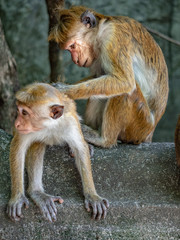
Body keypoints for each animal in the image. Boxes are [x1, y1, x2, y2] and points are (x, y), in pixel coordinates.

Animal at [6, 82, 109, 221]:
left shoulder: (70, 122)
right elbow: (18, 148)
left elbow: (80, 149)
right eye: (19, 111)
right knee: (37, 143)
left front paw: (92, 196)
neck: (50, 125)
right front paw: (17, 198)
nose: (17, 123)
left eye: (25, 113)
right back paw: (37, 193)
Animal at [47, 5, 169, 148]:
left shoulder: (113, 38)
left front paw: (65, 91)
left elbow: (124, 82)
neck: (101, 28)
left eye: (72, 46)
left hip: (141, 125)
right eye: (69, 49)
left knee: (126, 91)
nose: (75, 60)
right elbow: (99, 75)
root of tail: (150, 131)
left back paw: (104, 140)